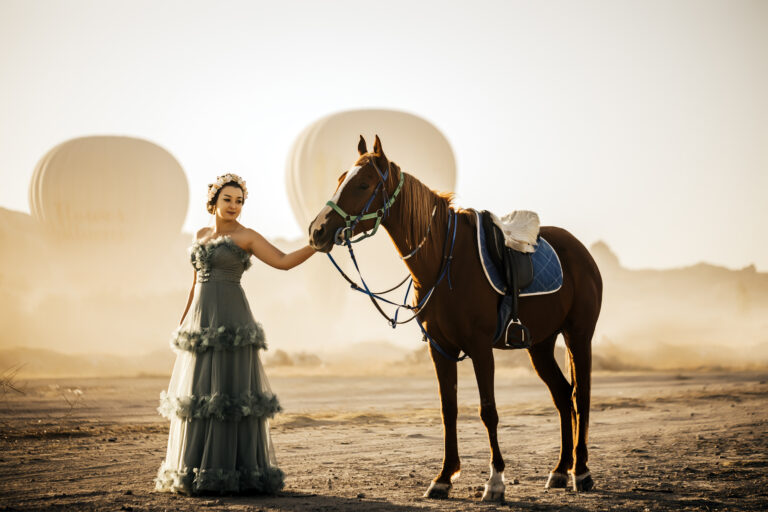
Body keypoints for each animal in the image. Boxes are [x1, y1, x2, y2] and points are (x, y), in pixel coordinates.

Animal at [308, 135, 604, 500]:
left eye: (362, 184)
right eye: (339, 180)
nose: (317, 231)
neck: (442, 261)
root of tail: (581, 251)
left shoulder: (480, 348)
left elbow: (488, 410)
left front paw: (495, 481)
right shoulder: (441, 349)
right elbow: (448, 410)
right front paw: (443, 477)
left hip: (578, 336)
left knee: (580, 397)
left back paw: (582, 471)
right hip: (541, 345)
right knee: (563, 396)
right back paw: (561, 470)